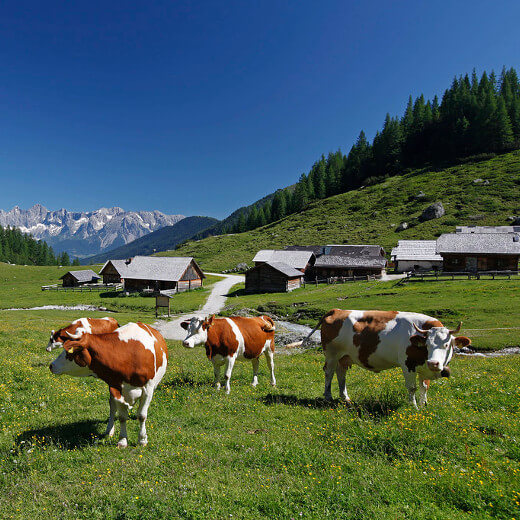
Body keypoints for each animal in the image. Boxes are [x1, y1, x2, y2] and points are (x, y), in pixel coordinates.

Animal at [300, 308, 472, 406]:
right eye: (427, 344)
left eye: (447, 344)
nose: (434, 363)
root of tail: (336, 310)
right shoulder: (408, 364)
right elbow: (412, 387)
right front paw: (414, 407)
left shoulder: (423, 368)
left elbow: (424, 387)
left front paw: (424, 405)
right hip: (331, 354)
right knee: (329, 372)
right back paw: (328, 397)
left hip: (345, 356)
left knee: (341, 373)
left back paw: (345, 398)